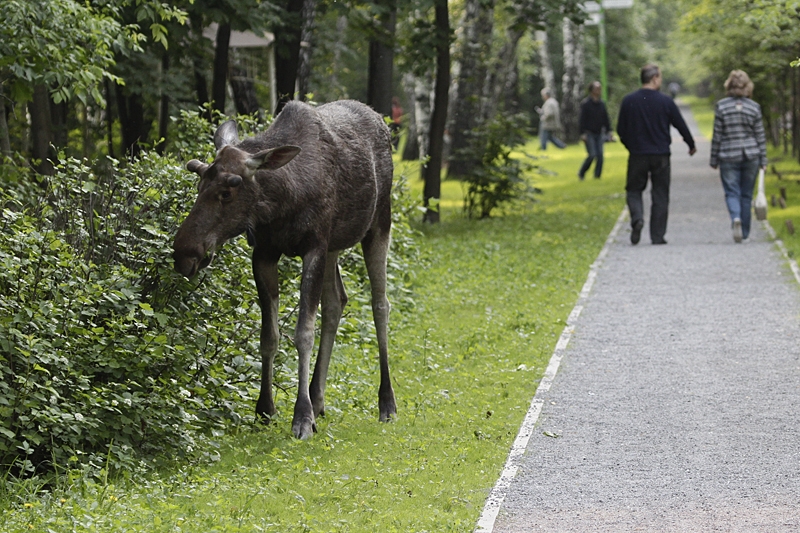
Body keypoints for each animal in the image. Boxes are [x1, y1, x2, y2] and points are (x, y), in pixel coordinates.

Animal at [173, 98, 396, 436]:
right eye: (199, 185)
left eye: (228, 191)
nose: (184, 252)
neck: (282, 202)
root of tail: (380, 120)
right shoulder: (265, 252)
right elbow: (269, 335)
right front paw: (266, 408)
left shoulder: (314, 246)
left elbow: (303, 332)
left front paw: (301, 416)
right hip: (334, 245)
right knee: (337, 301)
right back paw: (318, 398)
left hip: (379, 223)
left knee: (380, 304)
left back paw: (386, 402)